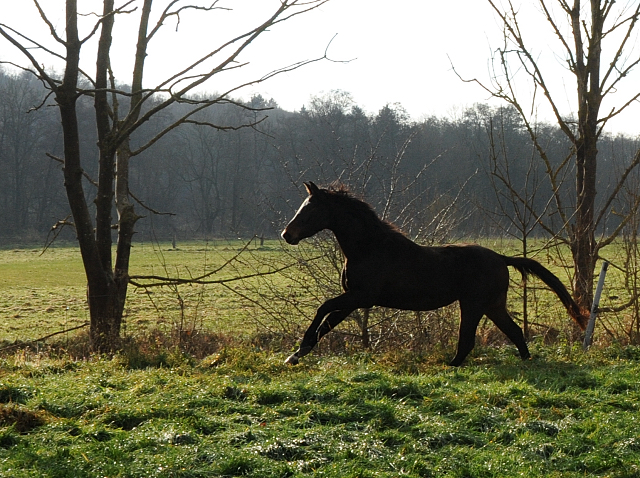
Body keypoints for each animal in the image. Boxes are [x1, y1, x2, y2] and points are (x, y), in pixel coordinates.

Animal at [282, 182, 592, 366]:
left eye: (310, 210)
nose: (287, 235)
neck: (369, 248)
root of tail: (501, 258)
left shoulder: (361, 296)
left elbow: (323, 309)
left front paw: (299, 349)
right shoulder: (354, 299)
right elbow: (327, 323)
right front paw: (297, 355)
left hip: (474, 305)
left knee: (468, 340)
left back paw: (451, 366)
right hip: (492, 305)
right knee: (514, 331)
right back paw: (526, 362)